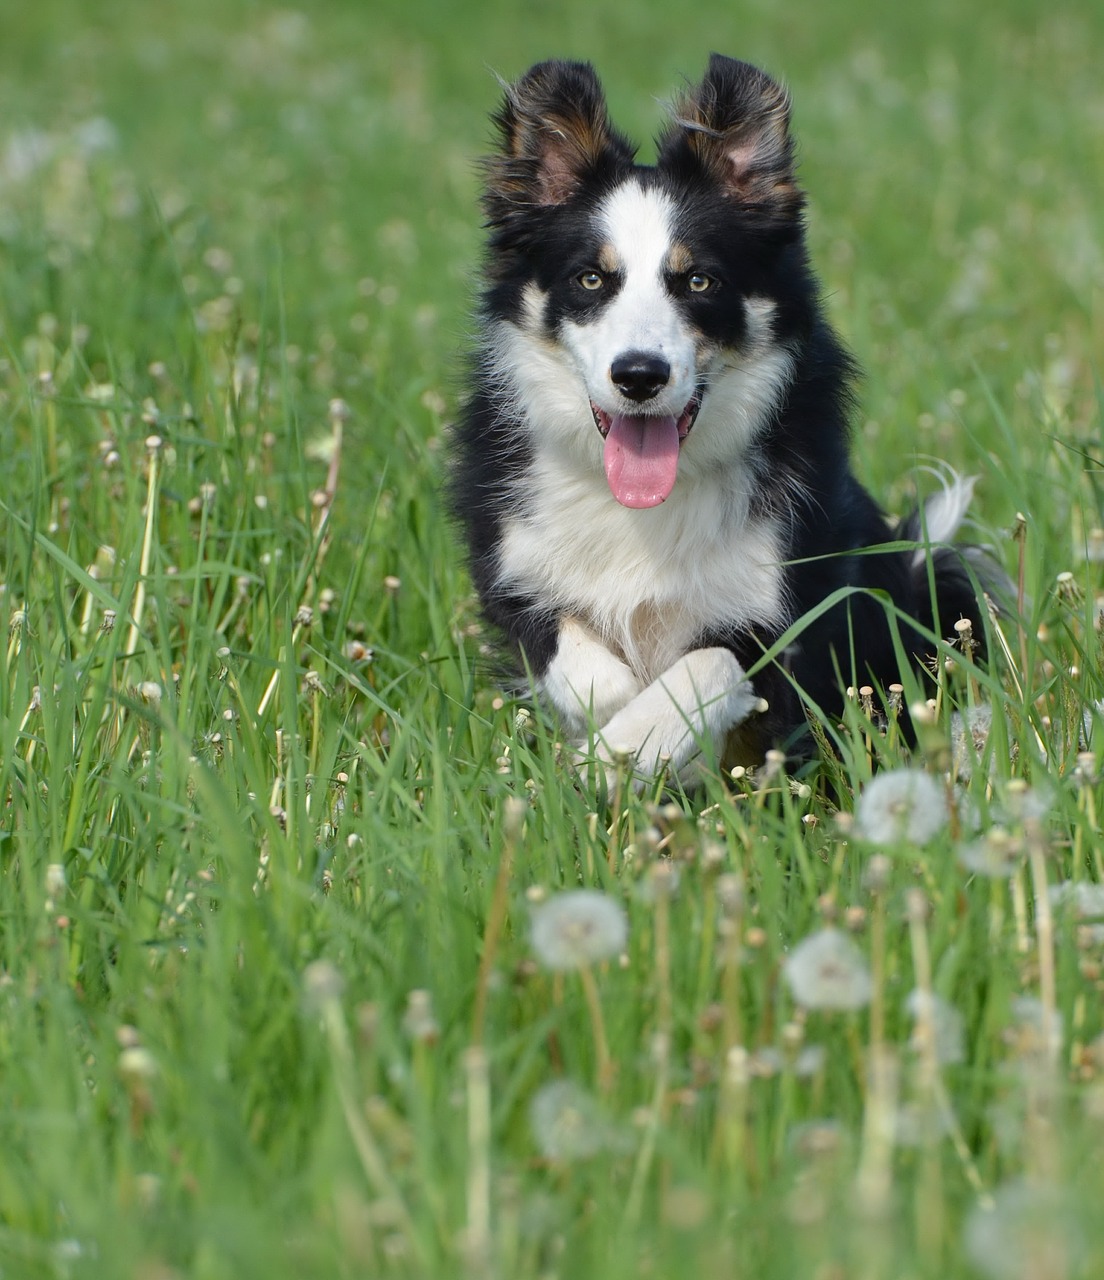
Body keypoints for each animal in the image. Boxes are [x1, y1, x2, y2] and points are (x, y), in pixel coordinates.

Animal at [450, 55, 993, 778]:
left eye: (698, 281)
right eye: (590, 279)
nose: (640, 376)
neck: (645, 508)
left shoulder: (784, 606)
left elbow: (707, 664)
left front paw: (633, 740)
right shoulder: (518, 572)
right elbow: (582, 662)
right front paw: (610, 733)